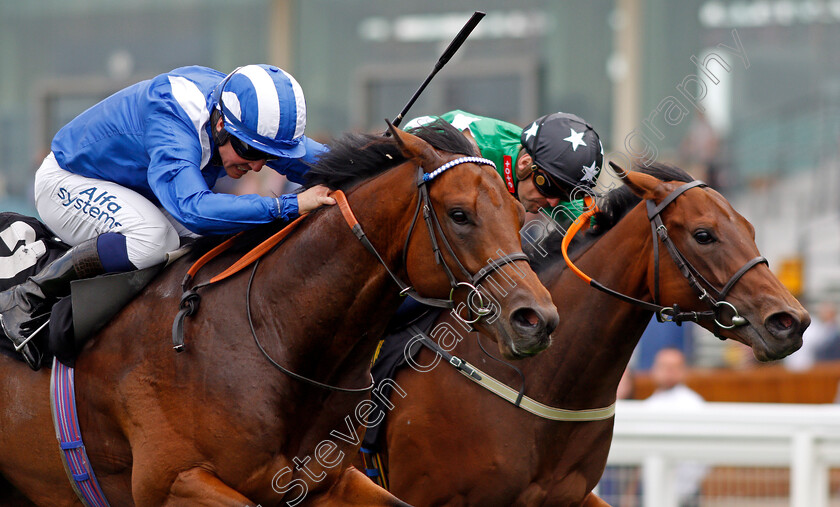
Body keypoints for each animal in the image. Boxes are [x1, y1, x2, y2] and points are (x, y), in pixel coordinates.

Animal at [0, 121, 556, 506]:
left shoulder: (324, 480)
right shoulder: (173, 482)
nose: (536, 319)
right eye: (459, 214)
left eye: (520, 214)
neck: (268, 330)